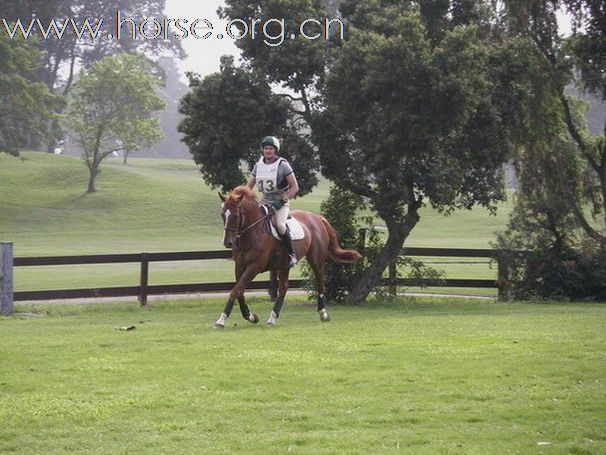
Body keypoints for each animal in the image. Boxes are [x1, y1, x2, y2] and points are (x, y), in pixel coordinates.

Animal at [216, 185, 364, 328]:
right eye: (223, 215)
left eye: (235, 216)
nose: (228, 242)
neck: (253, 232)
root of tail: (317, 217)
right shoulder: (239, 266)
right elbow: (239, 291)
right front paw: (250, 316)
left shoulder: (255, 266)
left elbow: (236, 290)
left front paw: (221, 320)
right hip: (284, 265)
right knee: (283, 288)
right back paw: (272, 317)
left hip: (316, 260)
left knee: (320, 282)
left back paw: (323, 313)